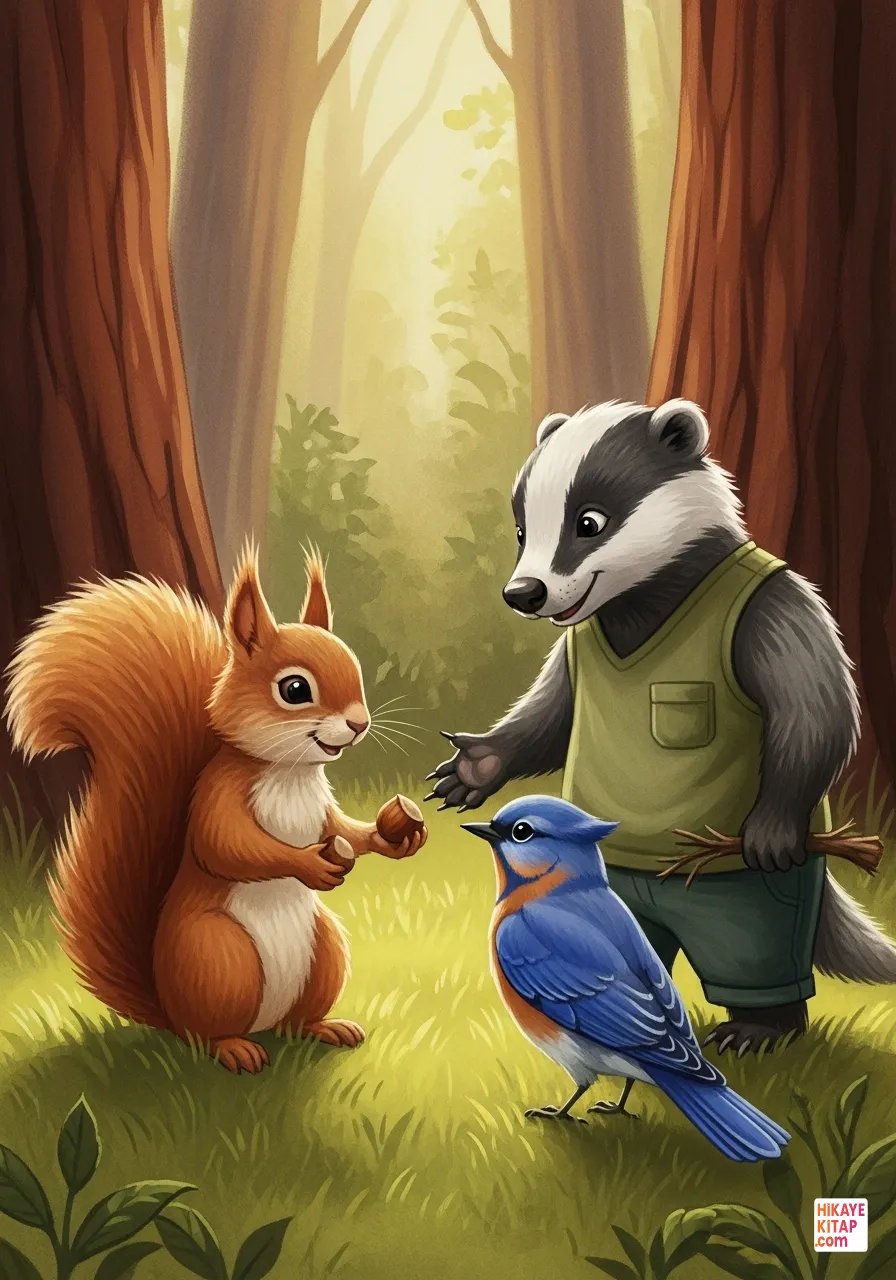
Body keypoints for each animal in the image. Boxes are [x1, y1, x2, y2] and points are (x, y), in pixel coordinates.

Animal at [5, 546, 426, 1074]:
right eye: (294, 689)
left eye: (356, 670)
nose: (359, 723)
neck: (290, 773)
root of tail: (168, 1011)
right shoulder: (216, 795)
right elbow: (226, 846)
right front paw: (308, 864)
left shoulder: (323, 810)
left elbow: (346, 831)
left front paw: (397, 838)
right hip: (220, 956)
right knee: (207, 1034)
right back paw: (235, 1049)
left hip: (324, 951)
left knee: (295, 1022)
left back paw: (324, 1027)